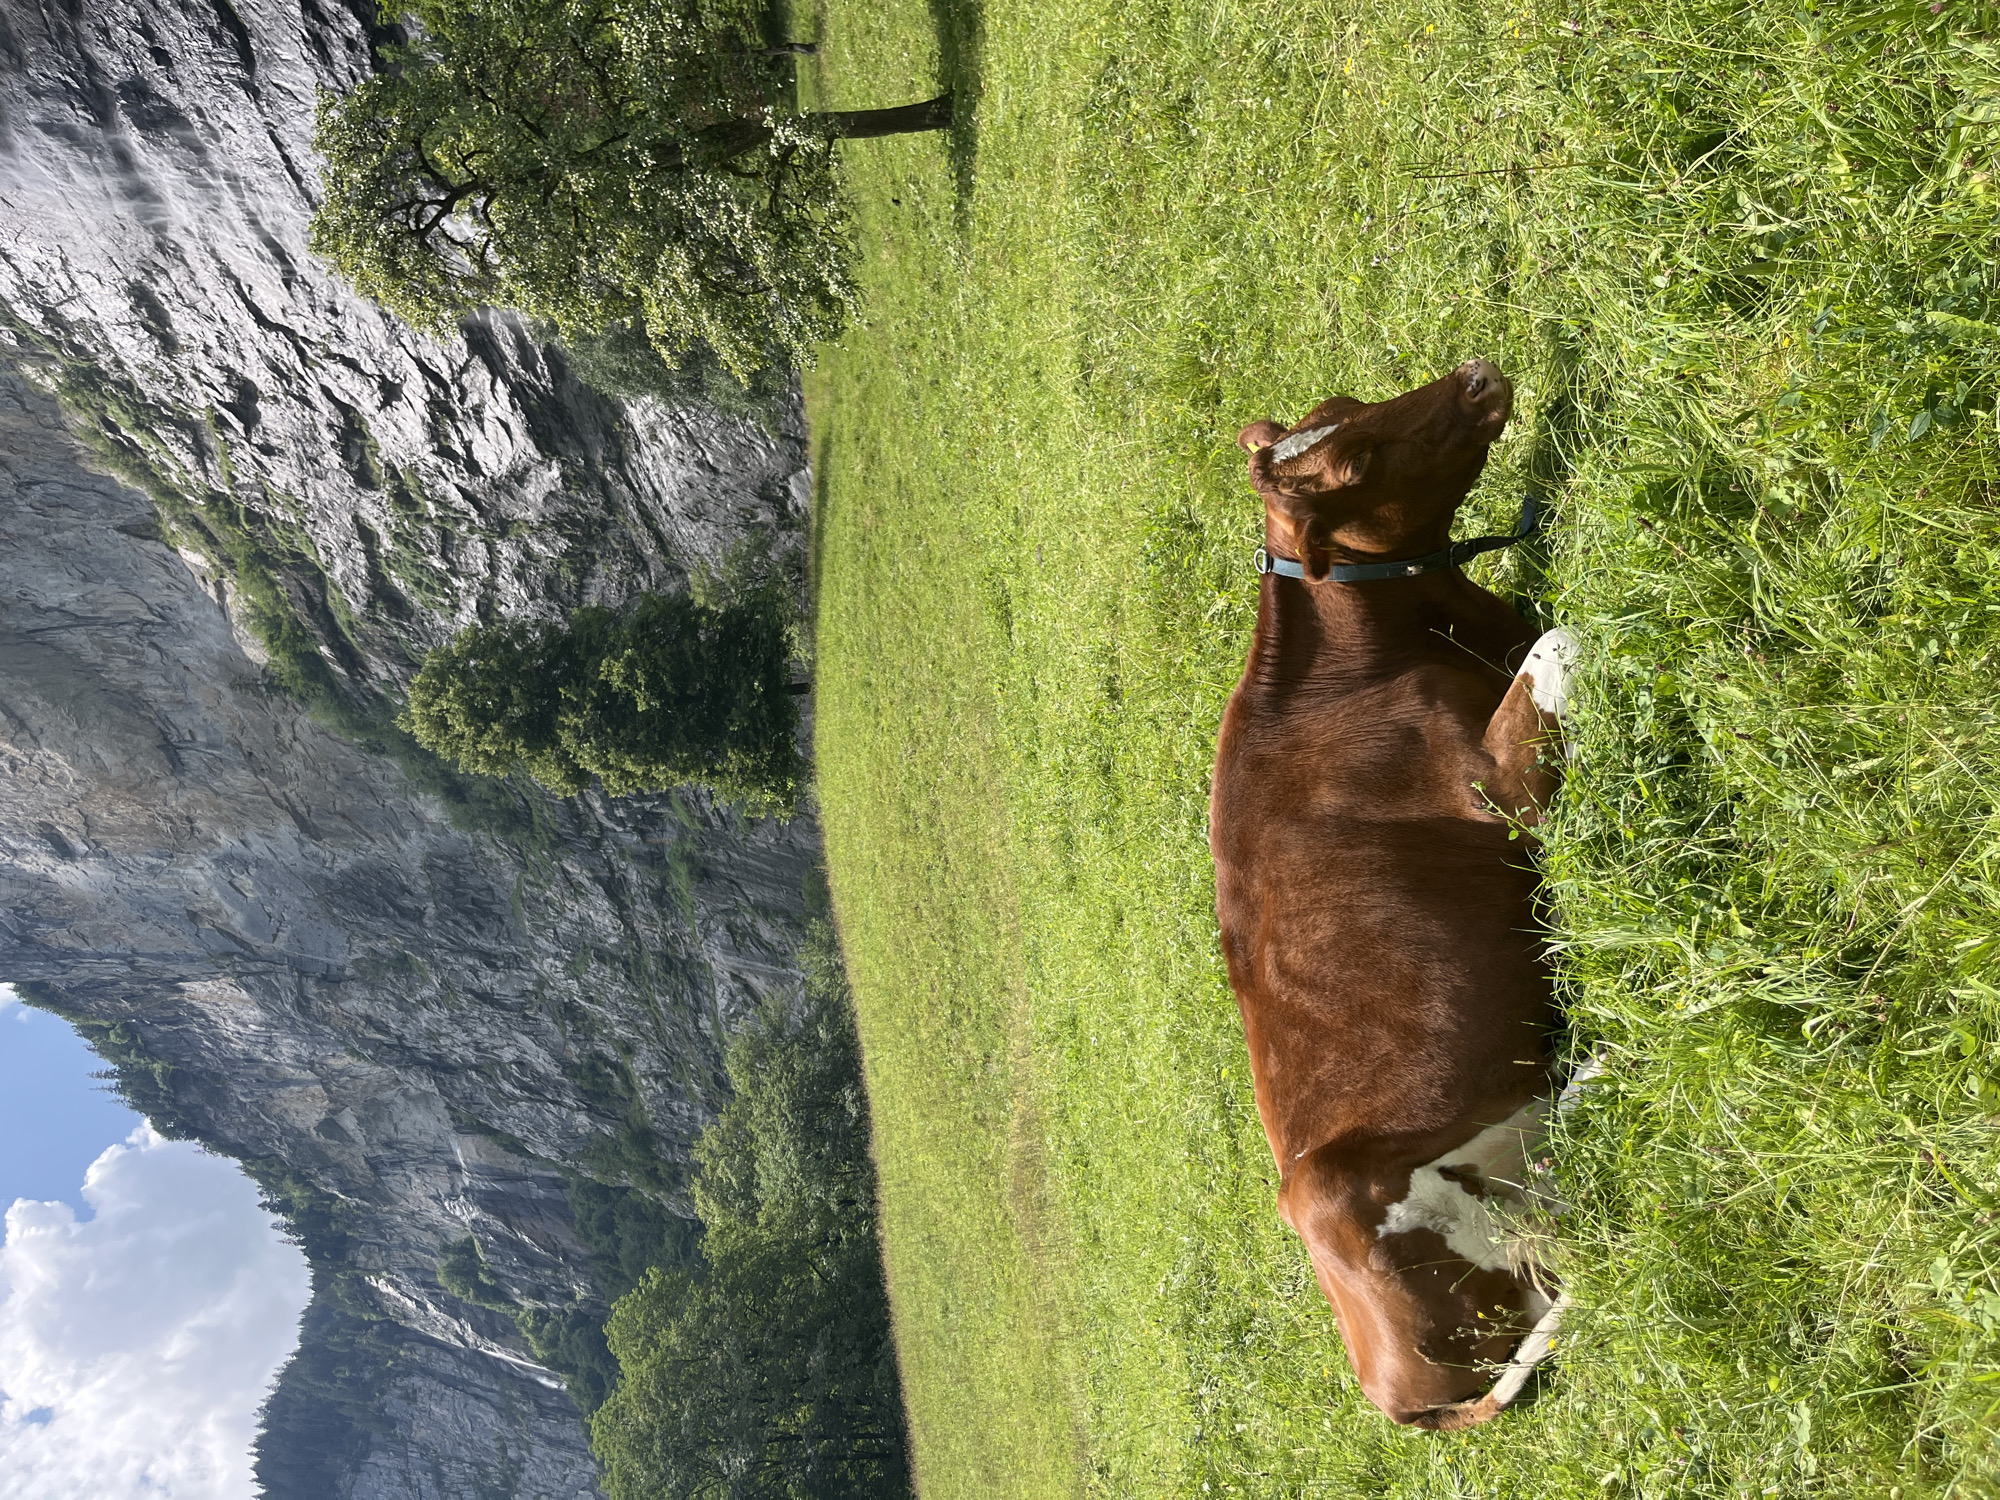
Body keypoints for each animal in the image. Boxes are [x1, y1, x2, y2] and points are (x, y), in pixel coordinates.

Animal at [1209, 358, 1579, 1431]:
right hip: (1348, 1193)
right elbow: (1569, 638)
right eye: (1358, 465)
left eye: (1344, 412)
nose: (1477, 377)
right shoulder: (1503, 793)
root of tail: (1392, 1395)